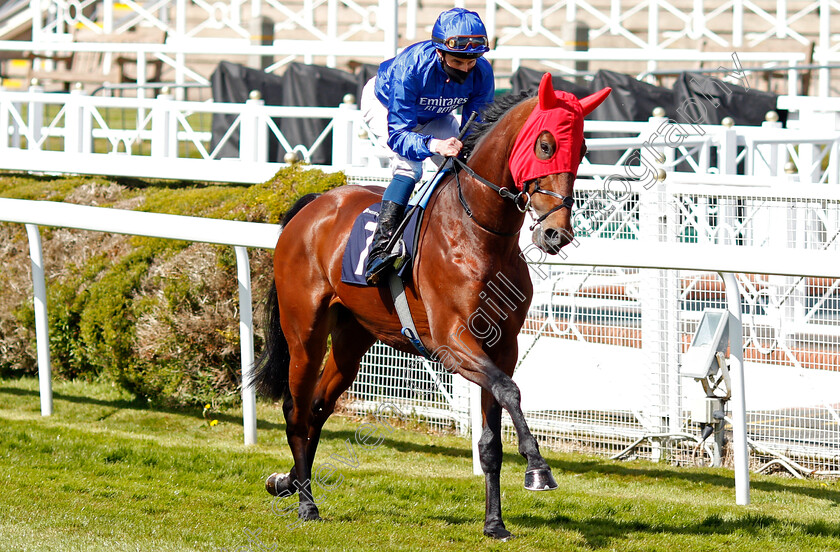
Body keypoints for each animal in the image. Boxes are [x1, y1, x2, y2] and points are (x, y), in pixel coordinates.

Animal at [249, 73, 612, 540]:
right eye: (546, 145)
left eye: (582, 150)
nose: (556, 234)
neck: (479, 232)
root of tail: (313, 204)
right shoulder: (451, 342)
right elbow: (511, 391)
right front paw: (538, 469)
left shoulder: (502, 345)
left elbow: (492, 435)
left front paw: (495, 523)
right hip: (305, 333)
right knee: (296, 410)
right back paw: (306, 504)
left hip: (352, 338)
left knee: (317, 409)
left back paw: (290, 482)